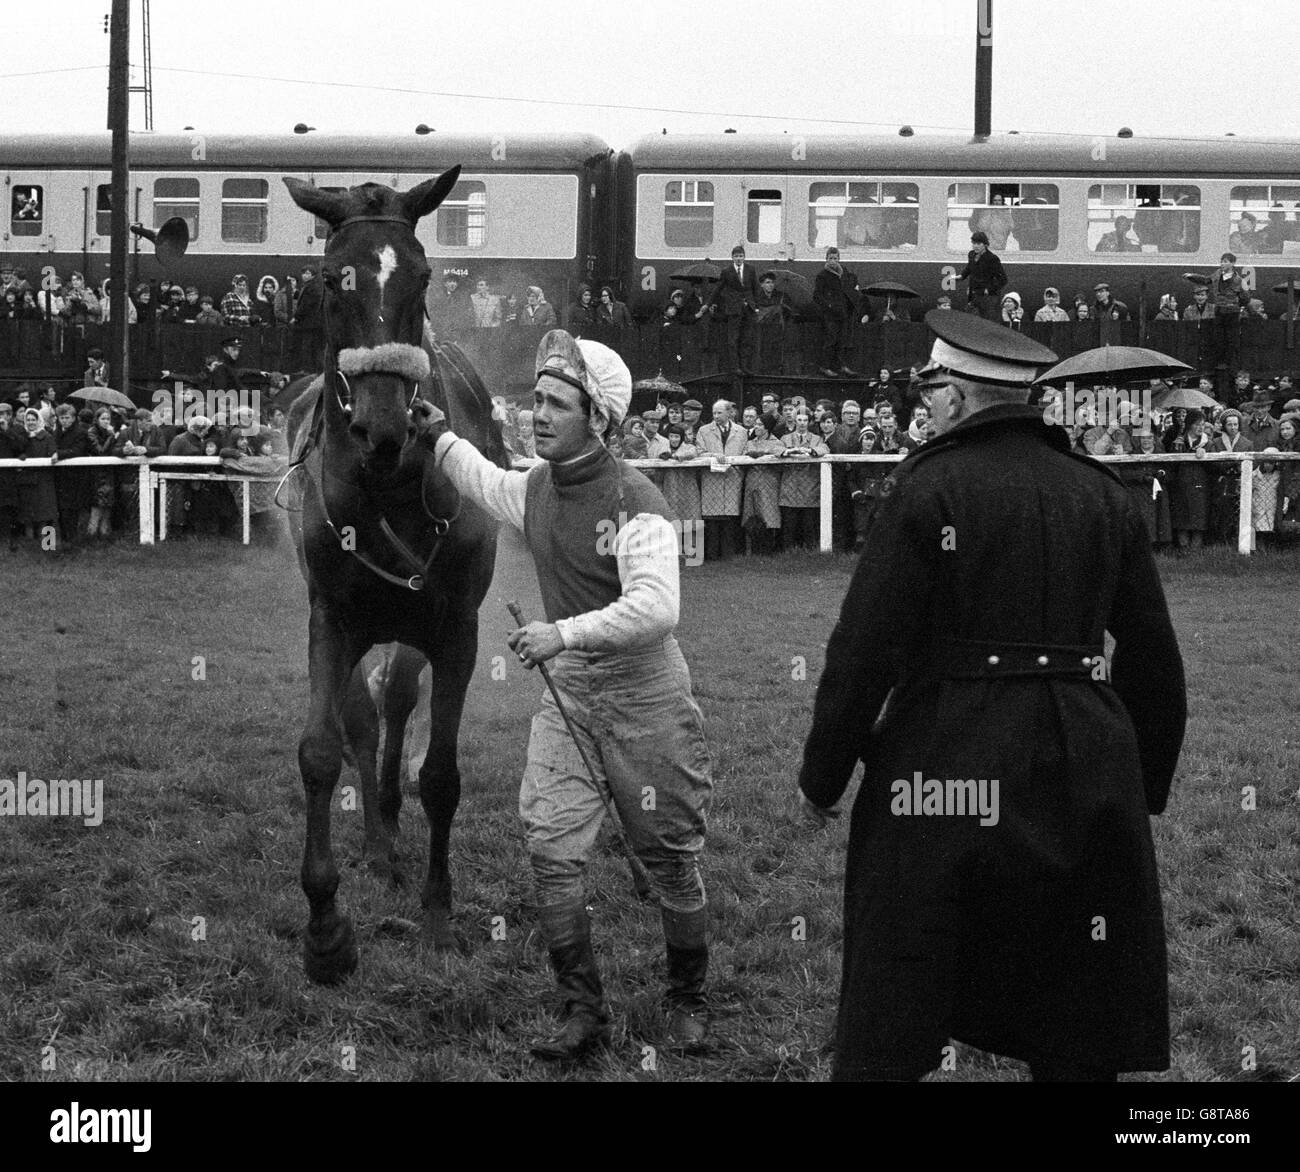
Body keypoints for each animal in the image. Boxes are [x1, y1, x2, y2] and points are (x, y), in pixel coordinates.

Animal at [282, 170, 509, 987]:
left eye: (423, 275)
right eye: (329, 278)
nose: (383, 428)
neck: (386, 489)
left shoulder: (454, 629)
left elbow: (440, 775)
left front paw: (438, 918)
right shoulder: (329, 617)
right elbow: (322, 749)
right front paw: (326, 928)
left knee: (398, 700)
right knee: (364, 714)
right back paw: (380, 846)